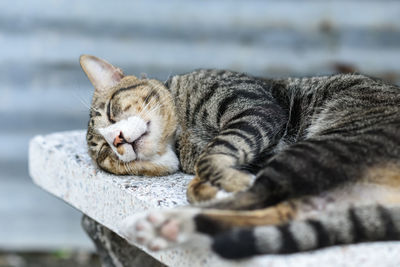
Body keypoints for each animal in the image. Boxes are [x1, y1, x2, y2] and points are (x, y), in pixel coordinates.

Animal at [79, 55, 400, 260]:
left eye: (111, 112)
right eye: (104, 152)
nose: (116, 140)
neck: (181, 138)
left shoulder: (255, 108)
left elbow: (213, 156)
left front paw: (226, 180)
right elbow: (204, 171)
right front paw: (209, 186)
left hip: (323, 146)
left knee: (263, 194)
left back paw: (162, 222)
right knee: (281, 211)